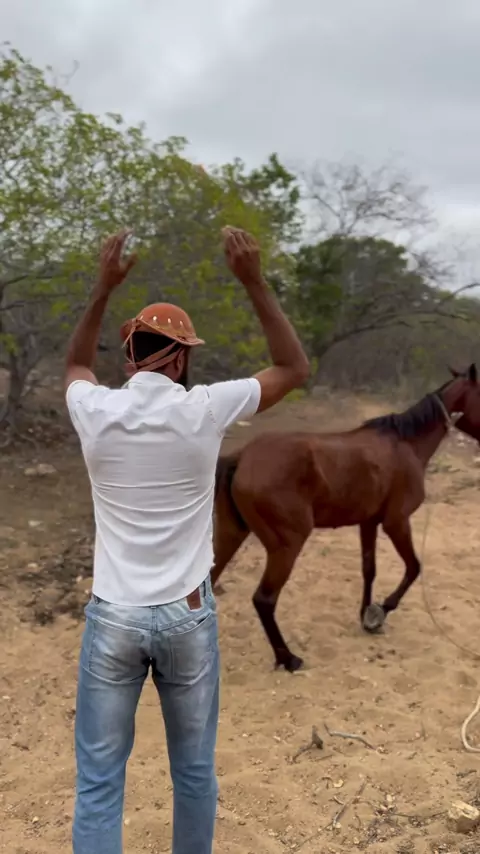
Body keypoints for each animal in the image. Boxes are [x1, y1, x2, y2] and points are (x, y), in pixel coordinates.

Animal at [211, 365, 480, 673]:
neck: (405, 444)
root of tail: (242, 458)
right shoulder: (397, 522)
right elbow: (413, 567)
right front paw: (379, 613)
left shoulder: (369, 522)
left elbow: (369, 570)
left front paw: (366, 615)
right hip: (286, 546)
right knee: (264, 599)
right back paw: (288, 658)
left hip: (230, 535)